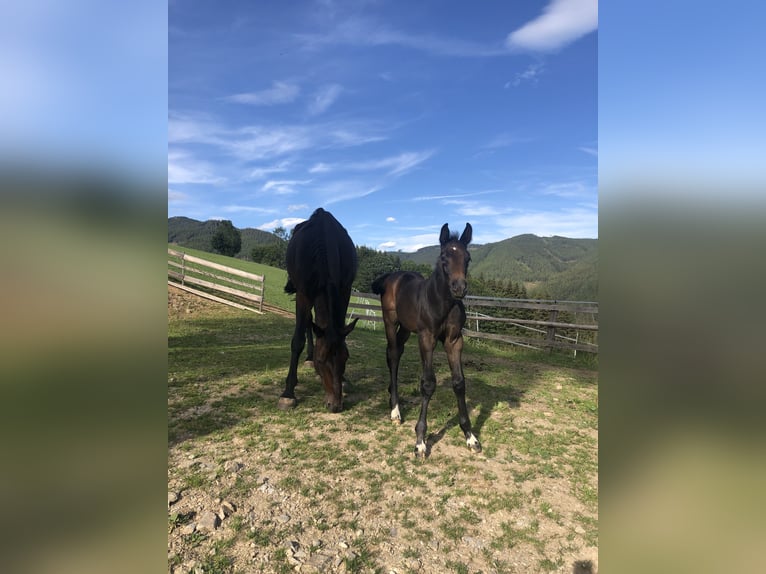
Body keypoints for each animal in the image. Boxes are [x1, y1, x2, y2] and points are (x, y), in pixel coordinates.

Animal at [280, 209, 358, 416]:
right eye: (321, 360)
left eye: (346, 357)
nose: (335, 405)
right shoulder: (303, 294)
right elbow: (297, 340)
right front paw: (288, 393)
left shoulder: (344, 291)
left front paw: (344, 380)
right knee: (308, 322)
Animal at [372, 224, 480, 460]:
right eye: (444, 257)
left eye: (467, 258)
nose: (459, 288)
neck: (442, 301)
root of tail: (392, 276)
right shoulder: (427, 338)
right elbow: (428, 384)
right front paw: (420, 441)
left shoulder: (454, 340)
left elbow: (459, 383)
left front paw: (470, 437)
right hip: (390, 321)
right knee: (392, 355)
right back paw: (395, 411)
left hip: (405, 328)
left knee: (395, 352)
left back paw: (391, 396)